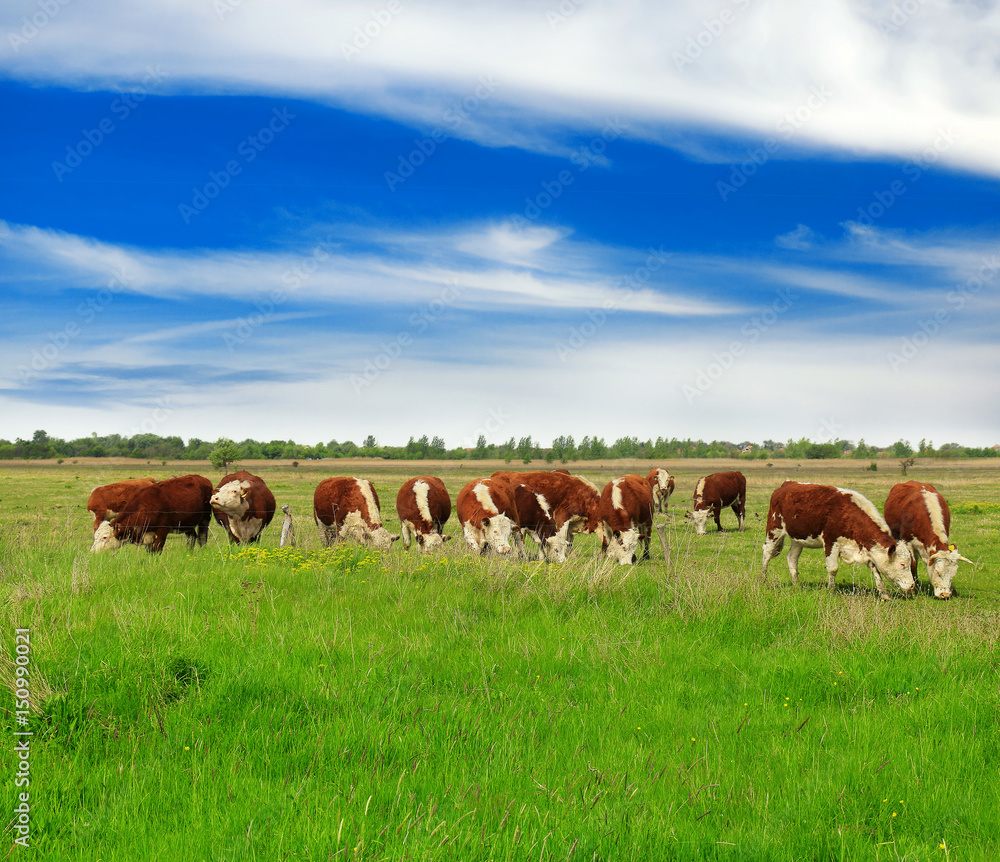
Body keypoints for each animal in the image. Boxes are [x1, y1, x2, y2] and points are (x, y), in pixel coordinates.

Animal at [760, 480, 916, 600]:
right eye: (902, 564)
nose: (912, 585)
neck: (848, 515)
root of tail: (787, 484)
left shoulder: (866, 548)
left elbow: (875, 570)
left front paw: (884, 594)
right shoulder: (831, 543)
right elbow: (833, 569)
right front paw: (831, 590)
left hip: (798, 538)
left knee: (791, 557)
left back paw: (796, 583)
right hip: (774, 529)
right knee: (767, 553)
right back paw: (762, 579)